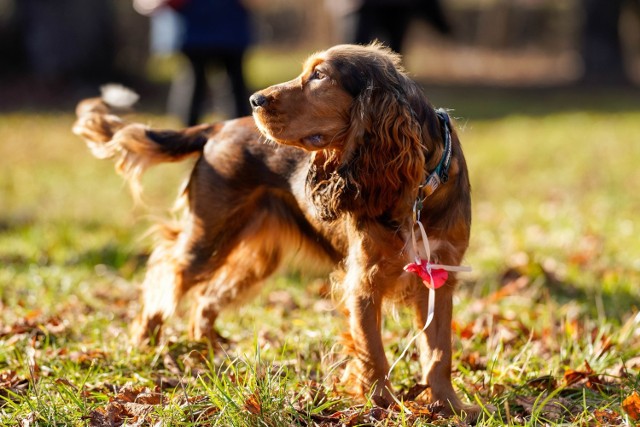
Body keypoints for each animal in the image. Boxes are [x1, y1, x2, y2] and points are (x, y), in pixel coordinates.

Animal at [72, 42, 478, 418]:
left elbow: (439, 352)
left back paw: (208, 351)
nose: (255, 99)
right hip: (206, 239)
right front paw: (382, 406)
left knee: (205, 298)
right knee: (164, 273)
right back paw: (144, 341)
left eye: (320, 75)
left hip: (255, 258)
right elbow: (372, 350)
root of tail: (218, 126)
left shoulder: (438, 277)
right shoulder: (364, 279)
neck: (417, 188)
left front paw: (450, 406)